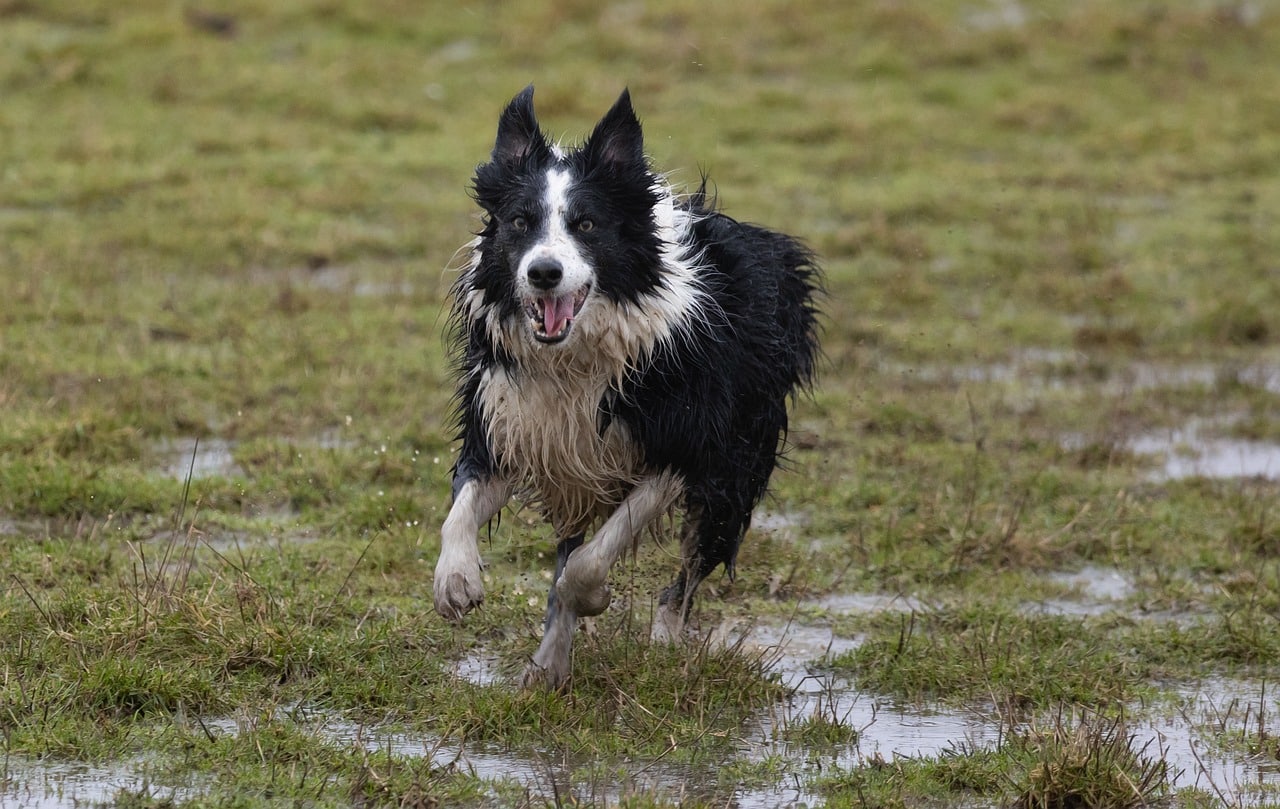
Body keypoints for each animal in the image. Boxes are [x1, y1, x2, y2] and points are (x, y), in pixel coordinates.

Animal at [435, 87, 824, 691]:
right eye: (519, 221)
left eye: (588, 225)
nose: (544, 273)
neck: (574, 359)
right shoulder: (512, 424)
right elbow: (463, 504)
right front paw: (457, 581)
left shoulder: (687, 445)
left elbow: (590, 563)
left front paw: (594, 598)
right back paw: (549, 667)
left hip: (738, 464)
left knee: (688, 570)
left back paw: (664, 641)